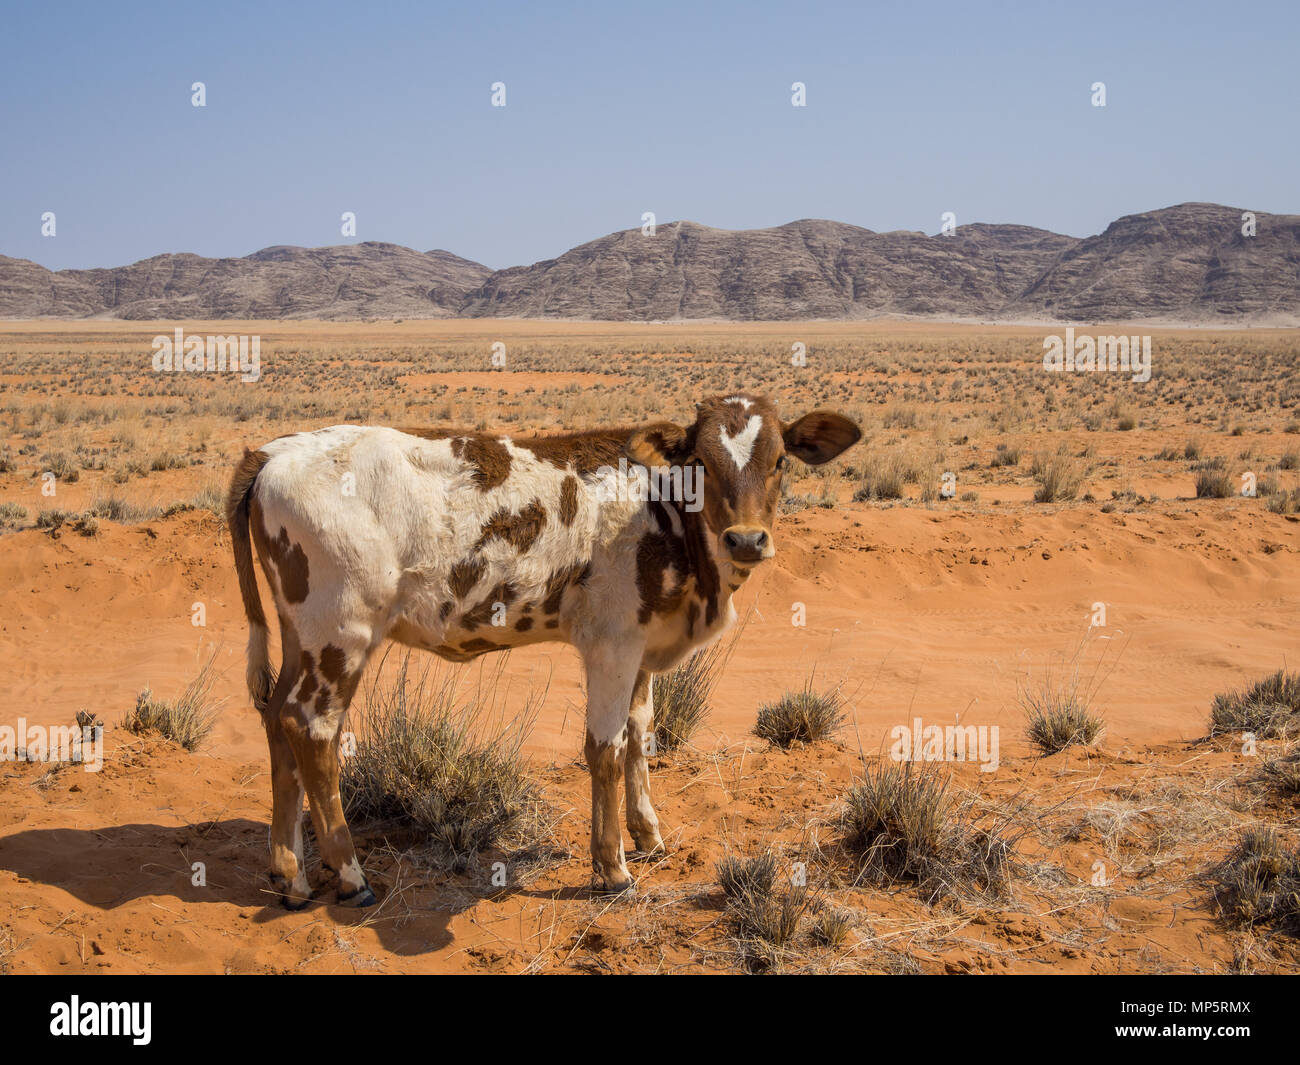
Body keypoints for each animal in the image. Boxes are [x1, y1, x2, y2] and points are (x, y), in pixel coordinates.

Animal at [231, 392, 863, 910]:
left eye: (779, 460)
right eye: (702, 462)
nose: (747, 539)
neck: (665, 510)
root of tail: (273, 450)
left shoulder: (643, 645)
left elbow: (641, 731)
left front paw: (648, 833)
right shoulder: (612, 643)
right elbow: (606, 748)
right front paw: (612, 867)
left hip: (300, 632)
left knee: (277, 720)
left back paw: (290, 876)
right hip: (339, 631)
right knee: (311, 729)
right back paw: (350, 875)